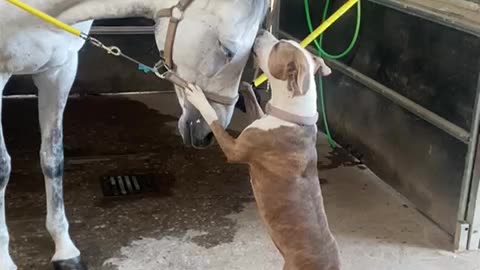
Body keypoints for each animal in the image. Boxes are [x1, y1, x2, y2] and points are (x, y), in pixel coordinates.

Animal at [0, 1, 268, 268]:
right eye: (227, 50)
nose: (208, 135)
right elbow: (3, 168)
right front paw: (5, 258)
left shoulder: (59, 70)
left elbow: (53, 159)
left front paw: (65, 249)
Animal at [185, 30, 342, 268]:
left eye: (278, 46)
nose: (261, 31)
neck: (292, 116)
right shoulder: (259, 117)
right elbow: (252, 99)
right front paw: (245, 85)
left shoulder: (235, 149)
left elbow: (214, 121)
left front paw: (198, 97)